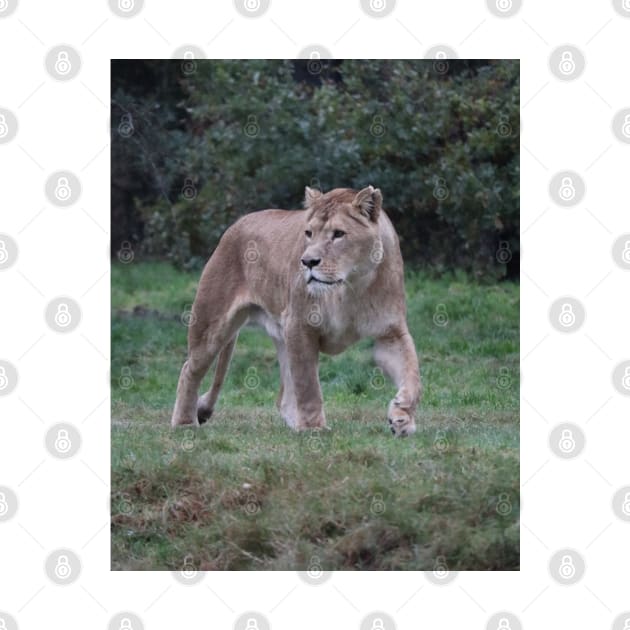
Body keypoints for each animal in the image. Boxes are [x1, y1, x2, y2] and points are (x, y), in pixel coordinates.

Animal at [170, 185, 422, 436]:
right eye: (309, 233)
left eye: (338, 234)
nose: (308, 261)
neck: (350, 286)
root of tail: (236, 224)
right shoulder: (300, 326)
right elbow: (308, 384)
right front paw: (313, 428)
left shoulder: (390, 333)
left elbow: (412, 373)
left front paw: (402, 415)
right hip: (212, 324)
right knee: (188, 370)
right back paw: (184, 422)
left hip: (281, 334)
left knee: (284, 397)